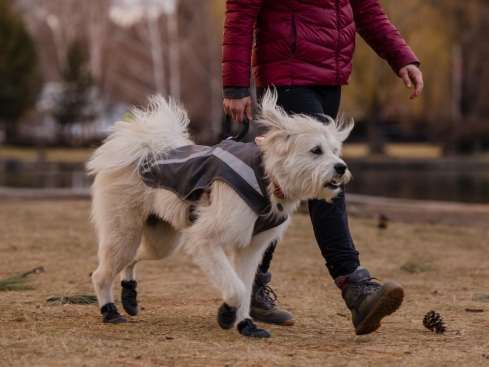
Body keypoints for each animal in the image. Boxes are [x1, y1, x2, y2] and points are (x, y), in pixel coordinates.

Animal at [85, 91, 350, 340]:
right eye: (316, 150)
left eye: (335, 151)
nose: (342, 167)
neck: (267, 175)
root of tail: (145, 148)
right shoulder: (204, 241)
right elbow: (237, 288)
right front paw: (227, 314)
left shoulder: (250, 249)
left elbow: (245, 286)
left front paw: (246, 325)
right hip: (124, 235)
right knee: (100, 274)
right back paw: (110, 311)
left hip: (163, 244)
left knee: (131, 260)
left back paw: (129, 295)